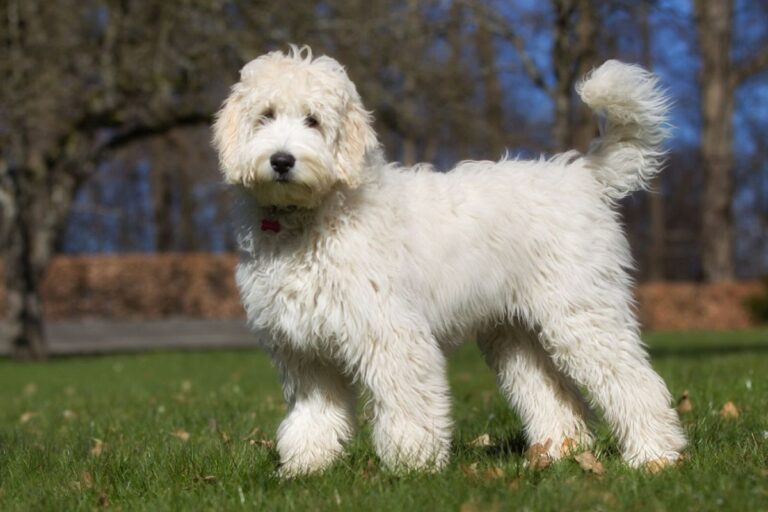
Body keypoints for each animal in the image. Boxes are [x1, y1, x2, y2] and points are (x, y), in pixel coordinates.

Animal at [213, 46, 688, 474]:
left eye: (312, 120)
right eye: (266, 116)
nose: (282, 160)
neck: (310, 217)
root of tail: (582, 174)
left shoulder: (391, 332)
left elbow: (408, 402)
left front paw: (412, 464)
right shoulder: (305, 351)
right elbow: (313, 414)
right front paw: (305, 467)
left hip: (582, 314)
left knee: (634, 381)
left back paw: (653, 456)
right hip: (517, 334)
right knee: (554, 396)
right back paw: (555, 455)